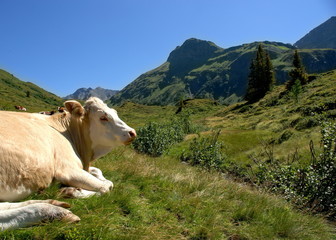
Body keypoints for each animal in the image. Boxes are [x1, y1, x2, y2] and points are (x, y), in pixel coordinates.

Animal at [0, 97, 136, 231]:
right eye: (103, 117)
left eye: (115, 112)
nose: (132, 132)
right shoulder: (68, 170)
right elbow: (106, 187)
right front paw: (73, 191)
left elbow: (100, 173)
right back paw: (54, 211)